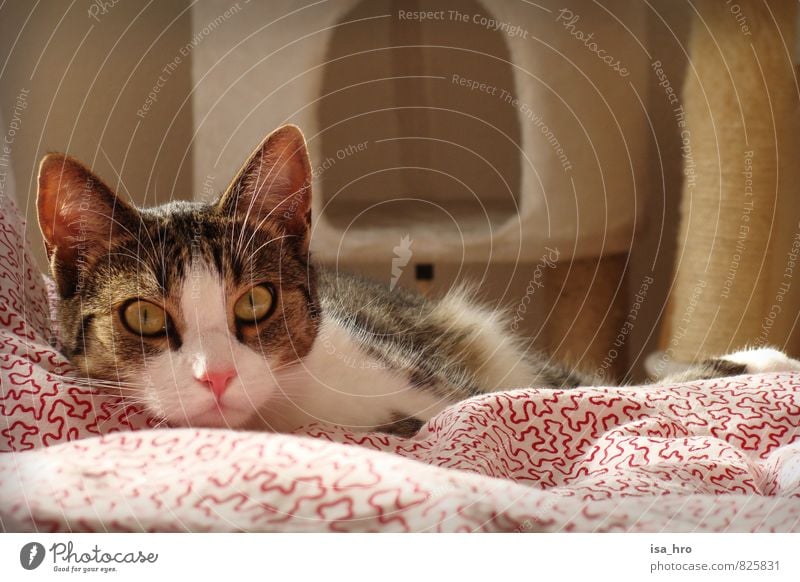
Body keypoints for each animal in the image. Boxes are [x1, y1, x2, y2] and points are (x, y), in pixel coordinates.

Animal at [36, 126, 800, 438]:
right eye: (141, 316)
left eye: (255, 300)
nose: (216, 376)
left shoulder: (431, 376)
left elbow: (582, 394)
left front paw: (755, 365)